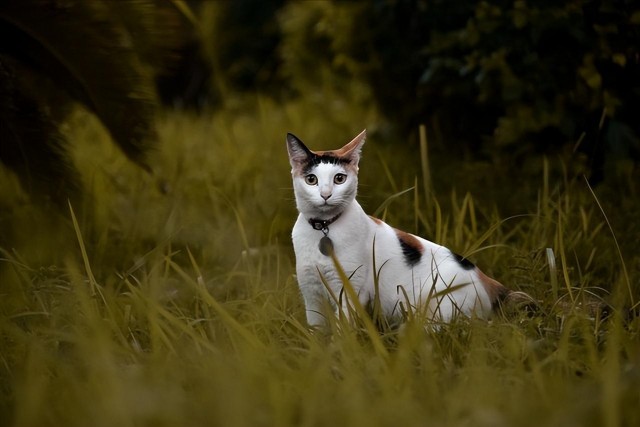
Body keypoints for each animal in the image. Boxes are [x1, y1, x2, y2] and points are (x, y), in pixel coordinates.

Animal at [286, 130, 524, 328]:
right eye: (311, 180)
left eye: (339, 178)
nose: (325, 195)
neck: (324, 228)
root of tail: (489, 281)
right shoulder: (311, 293)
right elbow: (318, 334)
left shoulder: (351, 290)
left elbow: (342, 330)